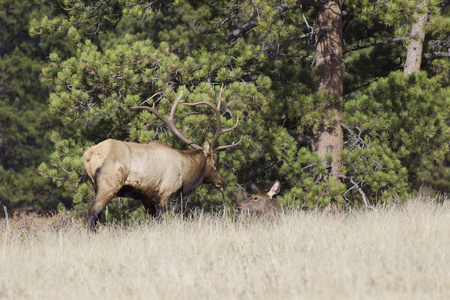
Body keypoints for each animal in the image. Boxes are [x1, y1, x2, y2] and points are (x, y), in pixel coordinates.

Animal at [83, 86, 241, 230]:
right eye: (214, 164)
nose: (221, 181)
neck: (185, 172)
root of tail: (88, 154)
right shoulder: (165, 194)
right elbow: (161, 221)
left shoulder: (147, 198)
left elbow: (153, 221)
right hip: (109, 184)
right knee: (91, 211)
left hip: (94, 186)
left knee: (97, 216)